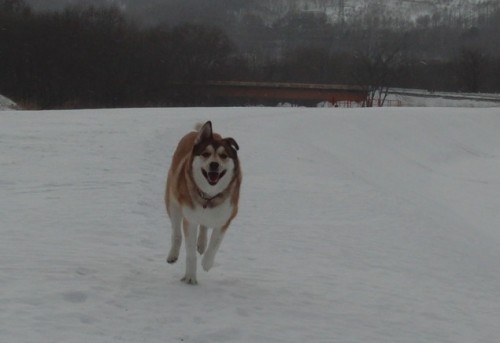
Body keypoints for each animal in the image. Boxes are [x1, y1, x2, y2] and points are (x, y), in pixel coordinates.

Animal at [165, 121, 241, 284]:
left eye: (224, 156)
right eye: (205, 154)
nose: (214, 165)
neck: (209, 196)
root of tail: (195, 133)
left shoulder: (224, 219)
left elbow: (215, 244)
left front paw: (206, 263)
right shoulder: (190, 219)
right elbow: (190, 250)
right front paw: (190, 277)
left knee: (204, 227)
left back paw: (201, 244)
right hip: (172, 202)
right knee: (176, 231)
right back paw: (173, 254)